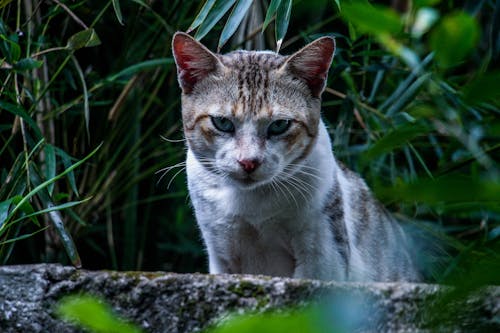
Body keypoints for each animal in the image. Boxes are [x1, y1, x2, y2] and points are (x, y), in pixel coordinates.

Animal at [171, 31, 418, 280]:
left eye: (280, 125)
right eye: (222, 122)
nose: (248, 162)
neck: (252, 205)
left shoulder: (322, 253)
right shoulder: (221, 253)